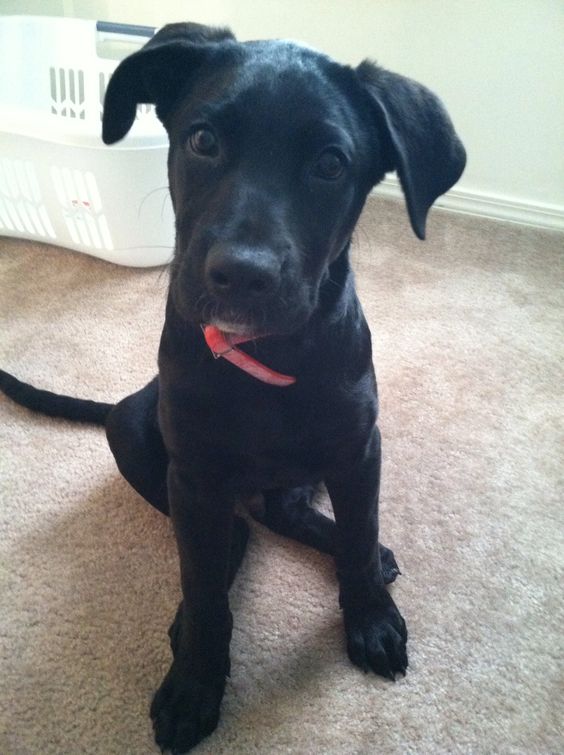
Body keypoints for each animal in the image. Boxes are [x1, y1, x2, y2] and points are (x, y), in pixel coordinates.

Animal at [0, 22, 464, 755]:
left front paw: (370, 616)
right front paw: (194, 683)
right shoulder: (193, 472)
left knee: (282, 514)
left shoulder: (358, 448)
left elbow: (361, 535)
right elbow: (205, 590)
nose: (242, 275)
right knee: (234, 538)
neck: (267, 355)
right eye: (203, 141)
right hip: (132, 430)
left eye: (331, 163)